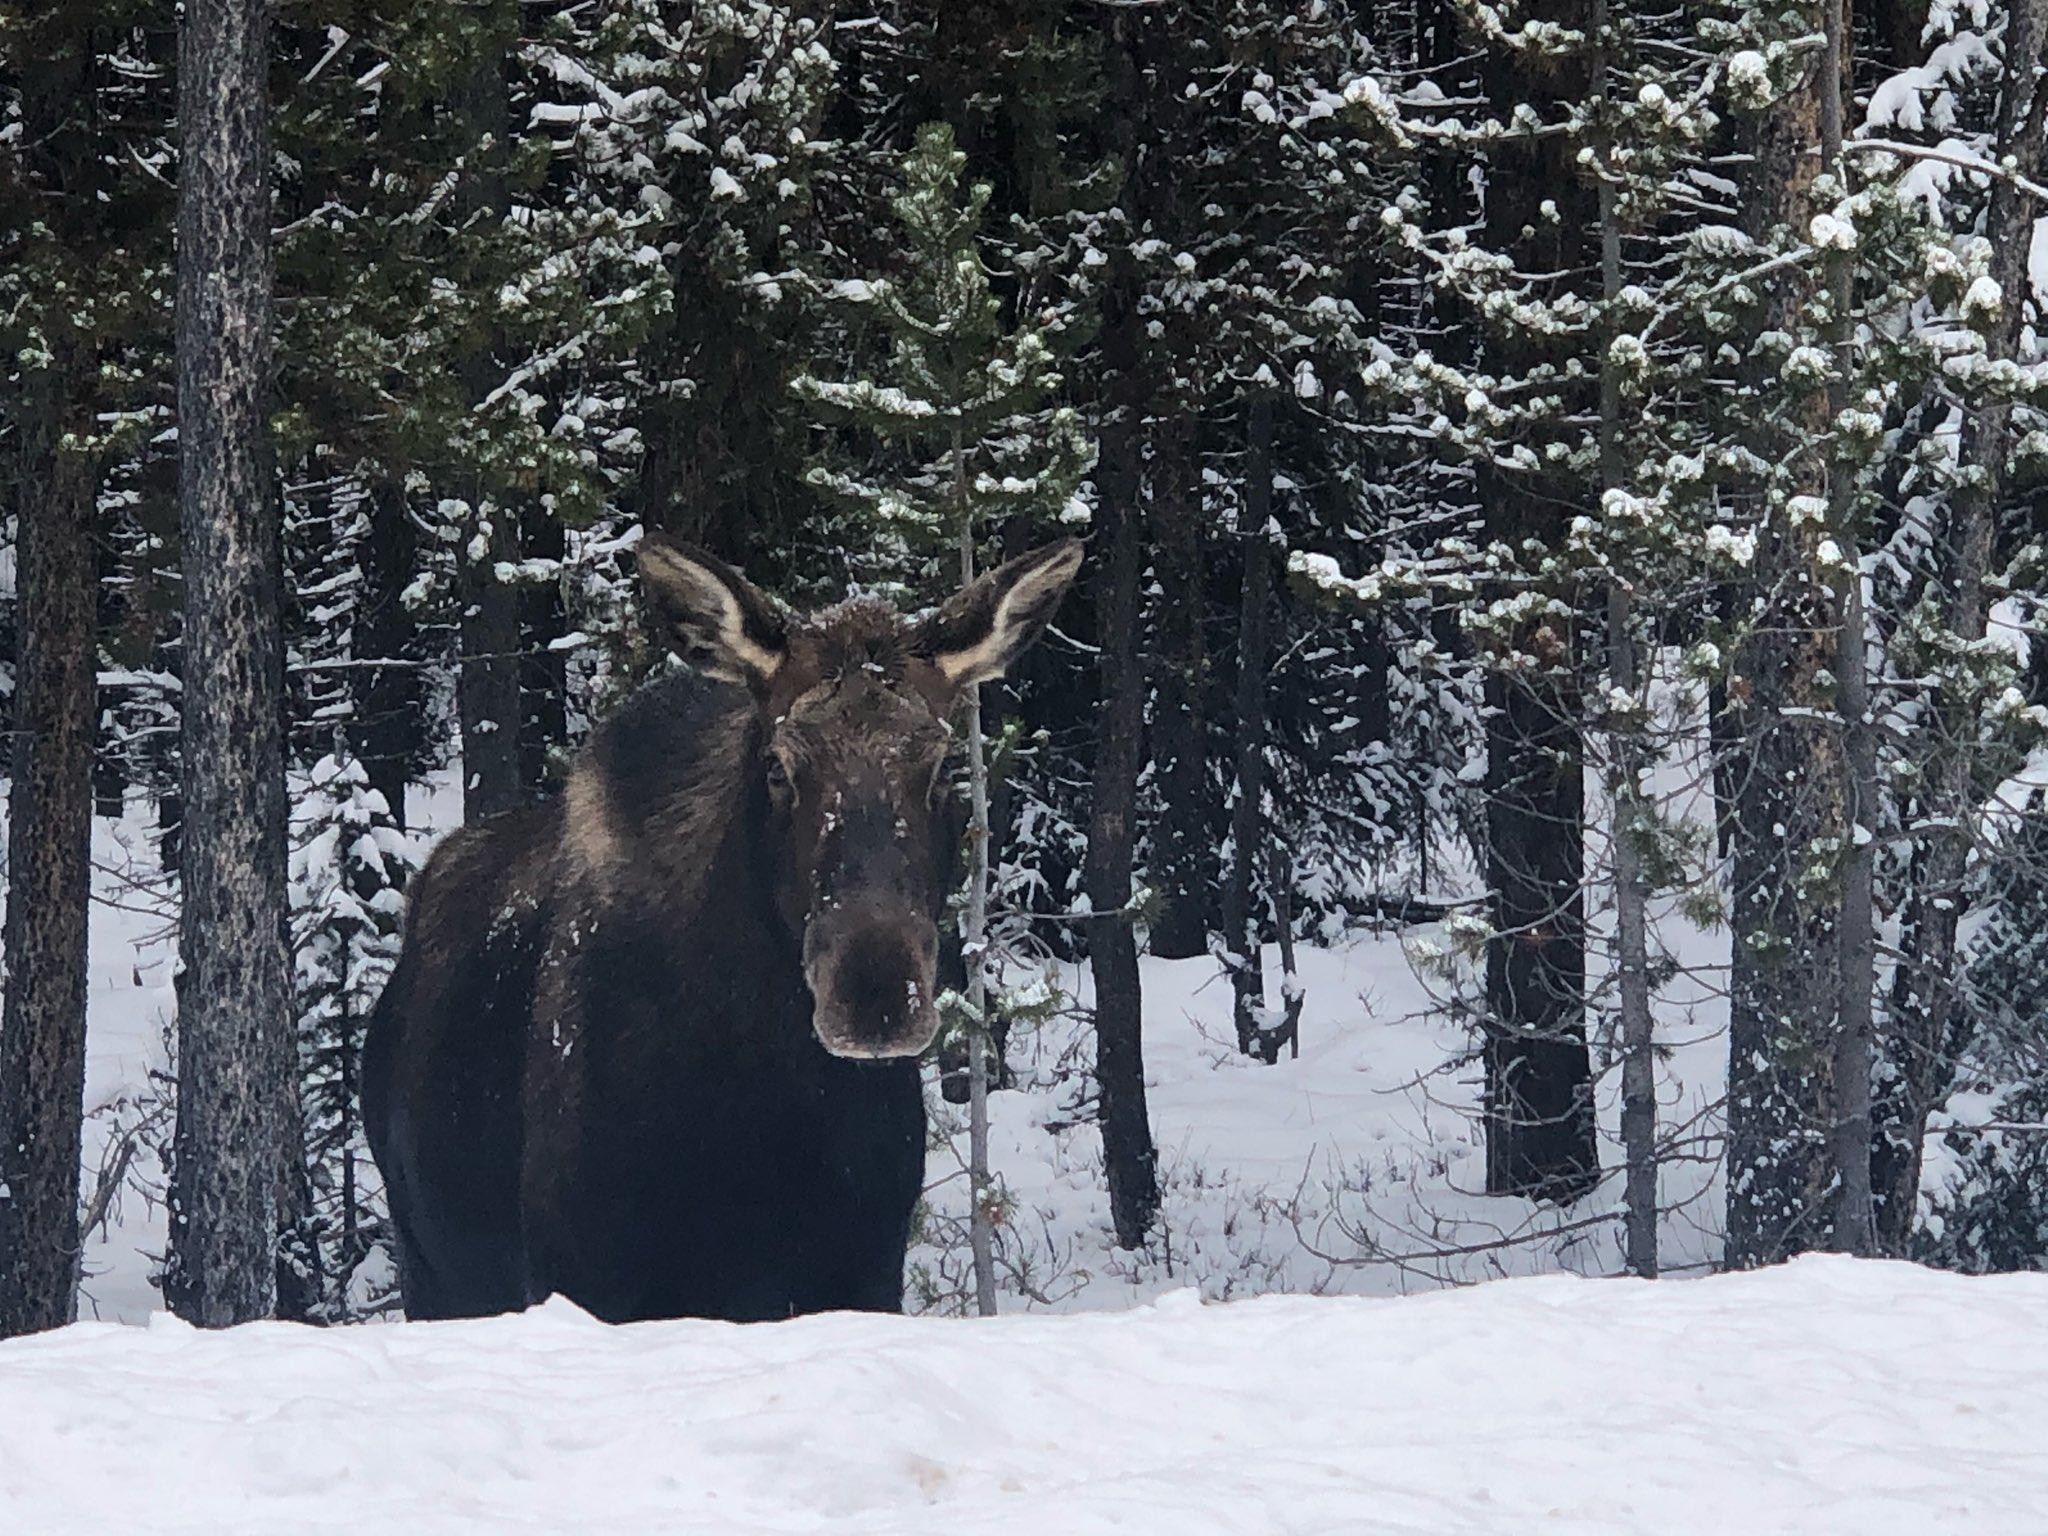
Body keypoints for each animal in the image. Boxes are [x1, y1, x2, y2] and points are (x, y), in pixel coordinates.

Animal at [364, 536, 1089, 1327]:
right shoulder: (585, 1275)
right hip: (432, 1269)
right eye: (778, 766)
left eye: (946, 765)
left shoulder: (862, 1271)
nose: (875, 995)